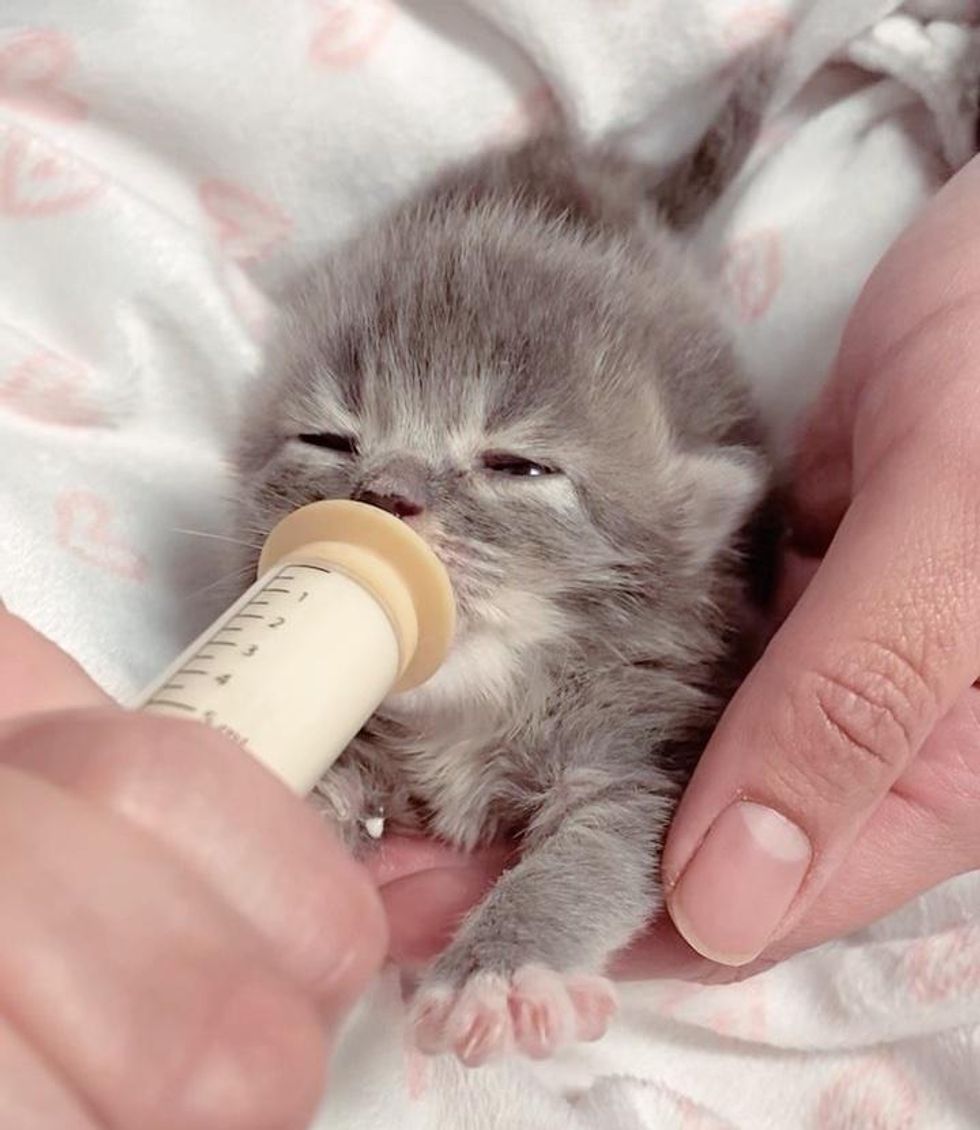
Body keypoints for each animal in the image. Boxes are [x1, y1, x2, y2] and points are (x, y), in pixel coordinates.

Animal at [231, 55, 782, 1066]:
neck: (473, 705)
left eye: (516, 466)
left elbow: (590, 858)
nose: (384, 495)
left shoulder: (640, 746)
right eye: (328, 441)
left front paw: (503, 966)